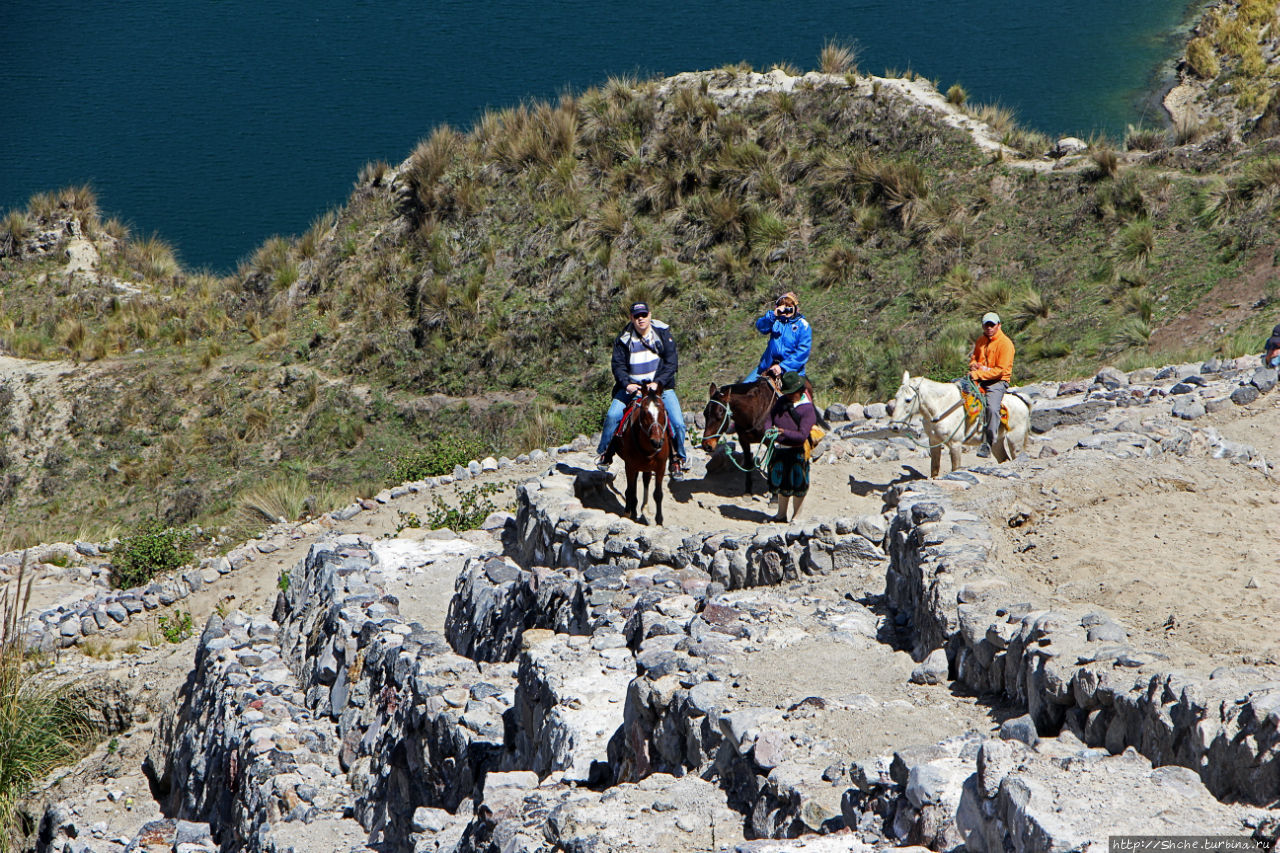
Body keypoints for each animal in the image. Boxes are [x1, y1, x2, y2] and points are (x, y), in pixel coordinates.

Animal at [616, 381, 675, 522]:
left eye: (663, 410)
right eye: (643, 411)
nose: (657, 442)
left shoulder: (661, 467)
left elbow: (658, 494)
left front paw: (659, 520)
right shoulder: (630, 466)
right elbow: (630, 491)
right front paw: (627, 513)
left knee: (646, 480)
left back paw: (644, 507)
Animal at [890, 371, 1029, 479]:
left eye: (908, 400)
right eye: (896, 397)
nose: (894, 427)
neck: (941, 406)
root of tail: (1022, 401)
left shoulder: (955, 444)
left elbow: (955, 468)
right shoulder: (934, 442)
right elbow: (934, 468)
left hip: (1015, 441)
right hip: (997, 443)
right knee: (1004, 459)